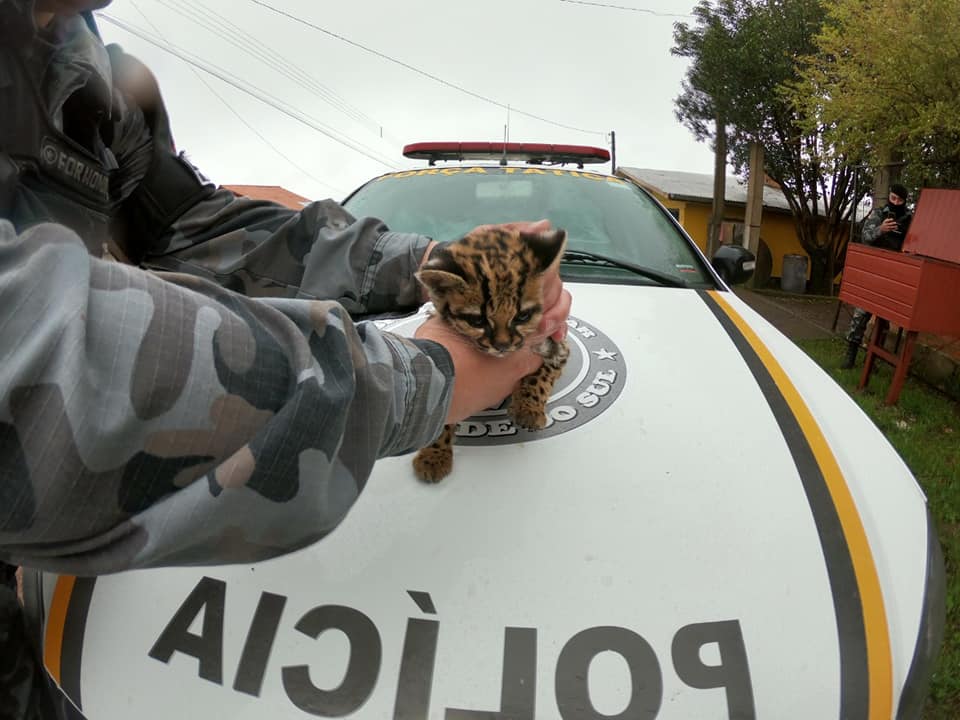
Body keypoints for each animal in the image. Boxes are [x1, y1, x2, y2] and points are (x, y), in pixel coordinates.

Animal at [412, 228, 568, 480]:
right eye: (478, 320)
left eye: (522, 316)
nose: (502, 346)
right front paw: (433, 455)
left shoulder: (558, 342)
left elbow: (540, 376)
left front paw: (528, 408)